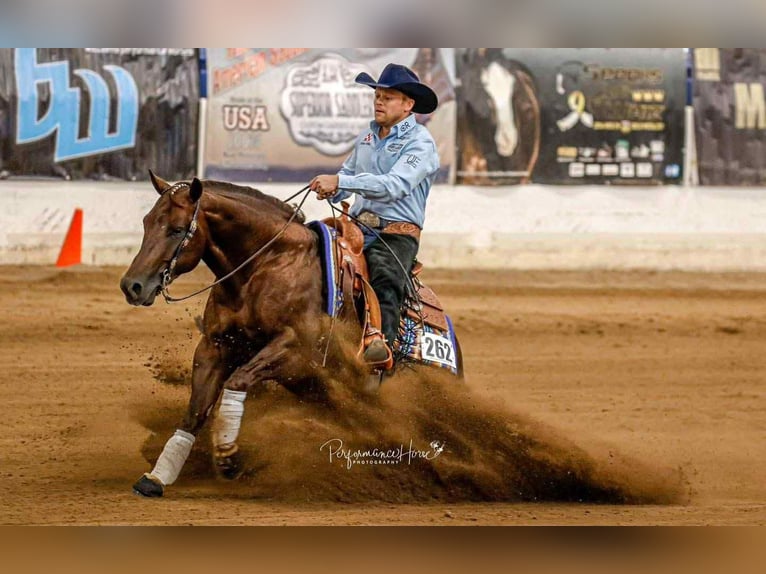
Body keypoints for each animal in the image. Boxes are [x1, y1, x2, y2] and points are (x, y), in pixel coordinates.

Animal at [120, 172, 462, 497]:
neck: (267, 264)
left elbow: (237, 380)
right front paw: (157, 477)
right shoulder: (214, 347)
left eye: (177, 229)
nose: (132, 286)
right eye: (147, 222)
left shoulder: (296, 352)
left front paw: (227, 456)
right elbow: (195, 410)